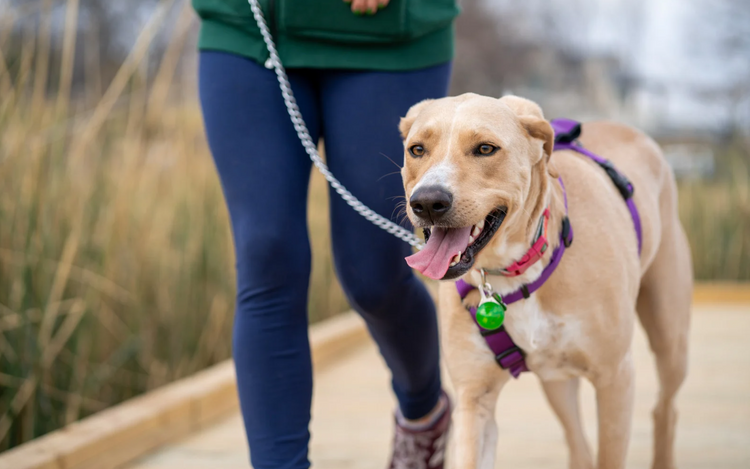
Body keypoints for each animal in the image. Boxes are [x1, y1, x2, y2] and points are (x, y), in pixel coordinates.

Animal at [400, 92, 692, 468]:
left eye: (485, 148)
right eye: (417, 149)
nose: (426, 201)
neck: (513, 272)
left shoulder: (615, 378)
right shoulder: (475, 397)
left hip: (671, 341)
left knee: (665, 408)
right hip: (556, 380)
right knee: (578, 442)